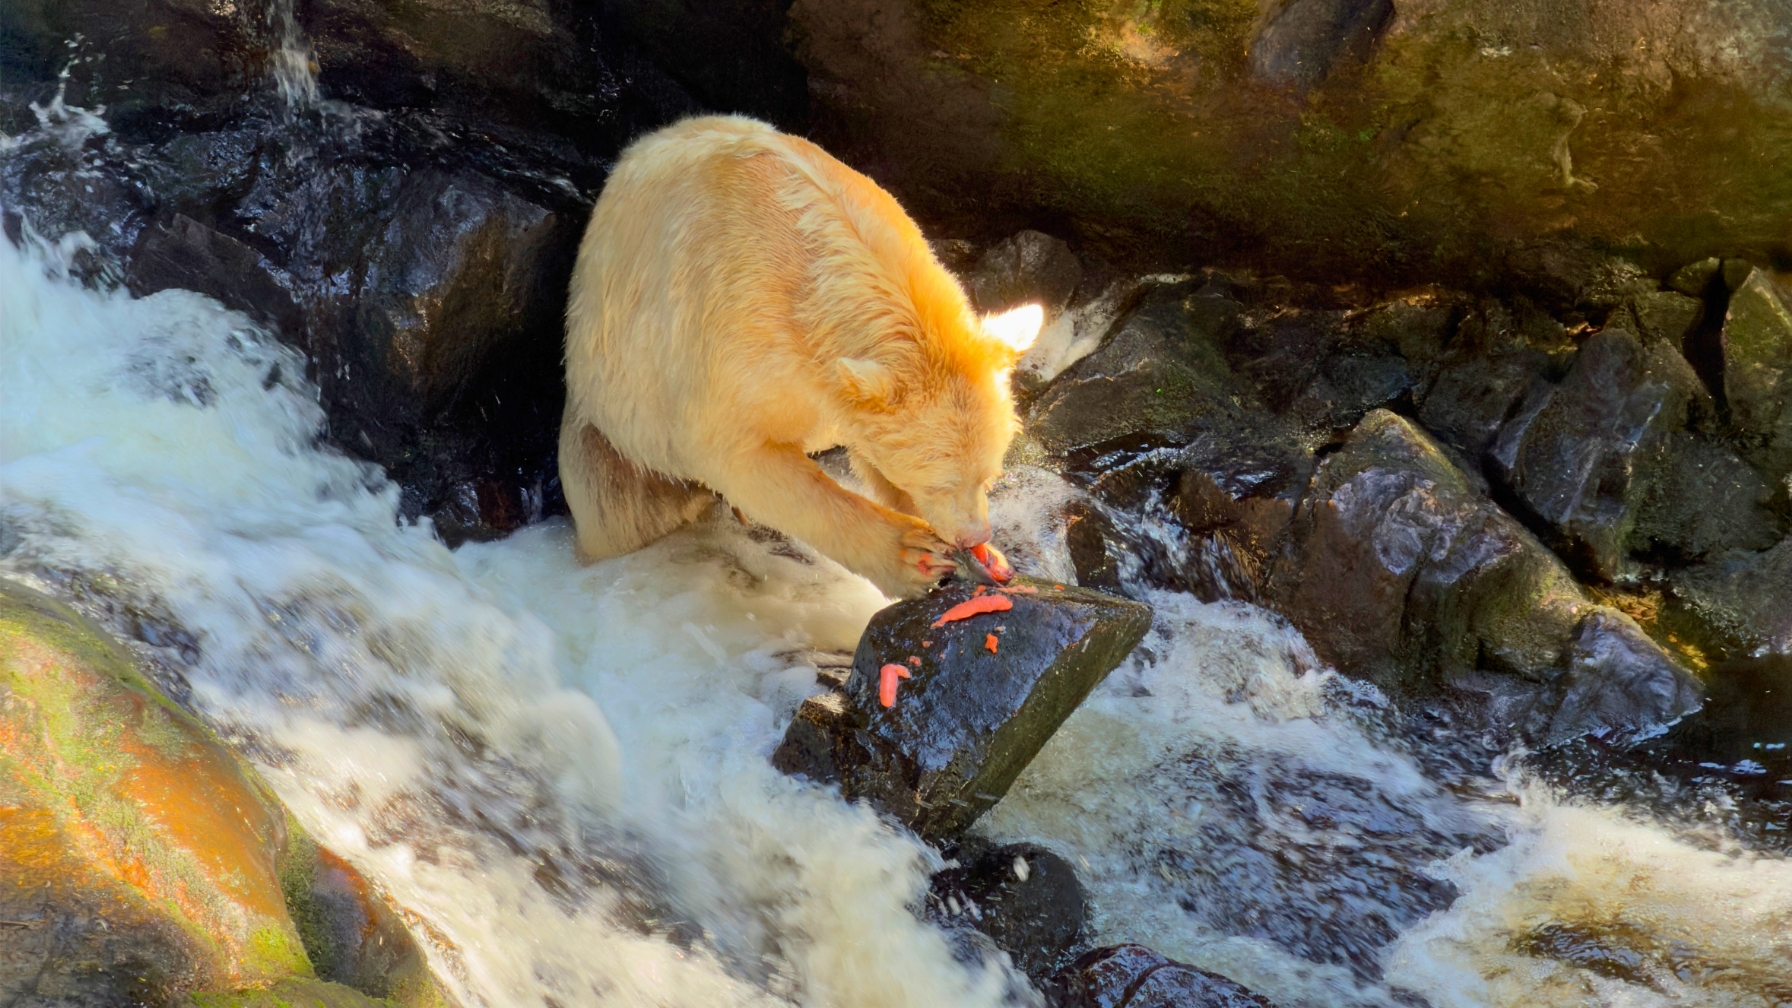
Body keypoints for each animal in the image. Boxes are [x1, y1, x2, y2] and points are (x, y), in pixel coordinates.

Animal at [559, 115, 1043, 598]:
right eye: (943, 482)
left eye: (990, 475)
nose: (974, 535)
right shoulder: (733, 337)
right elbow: (740, 455)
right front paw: (915, 555)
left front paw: (984, 556)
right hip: (611, 415)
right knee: (617, 509)